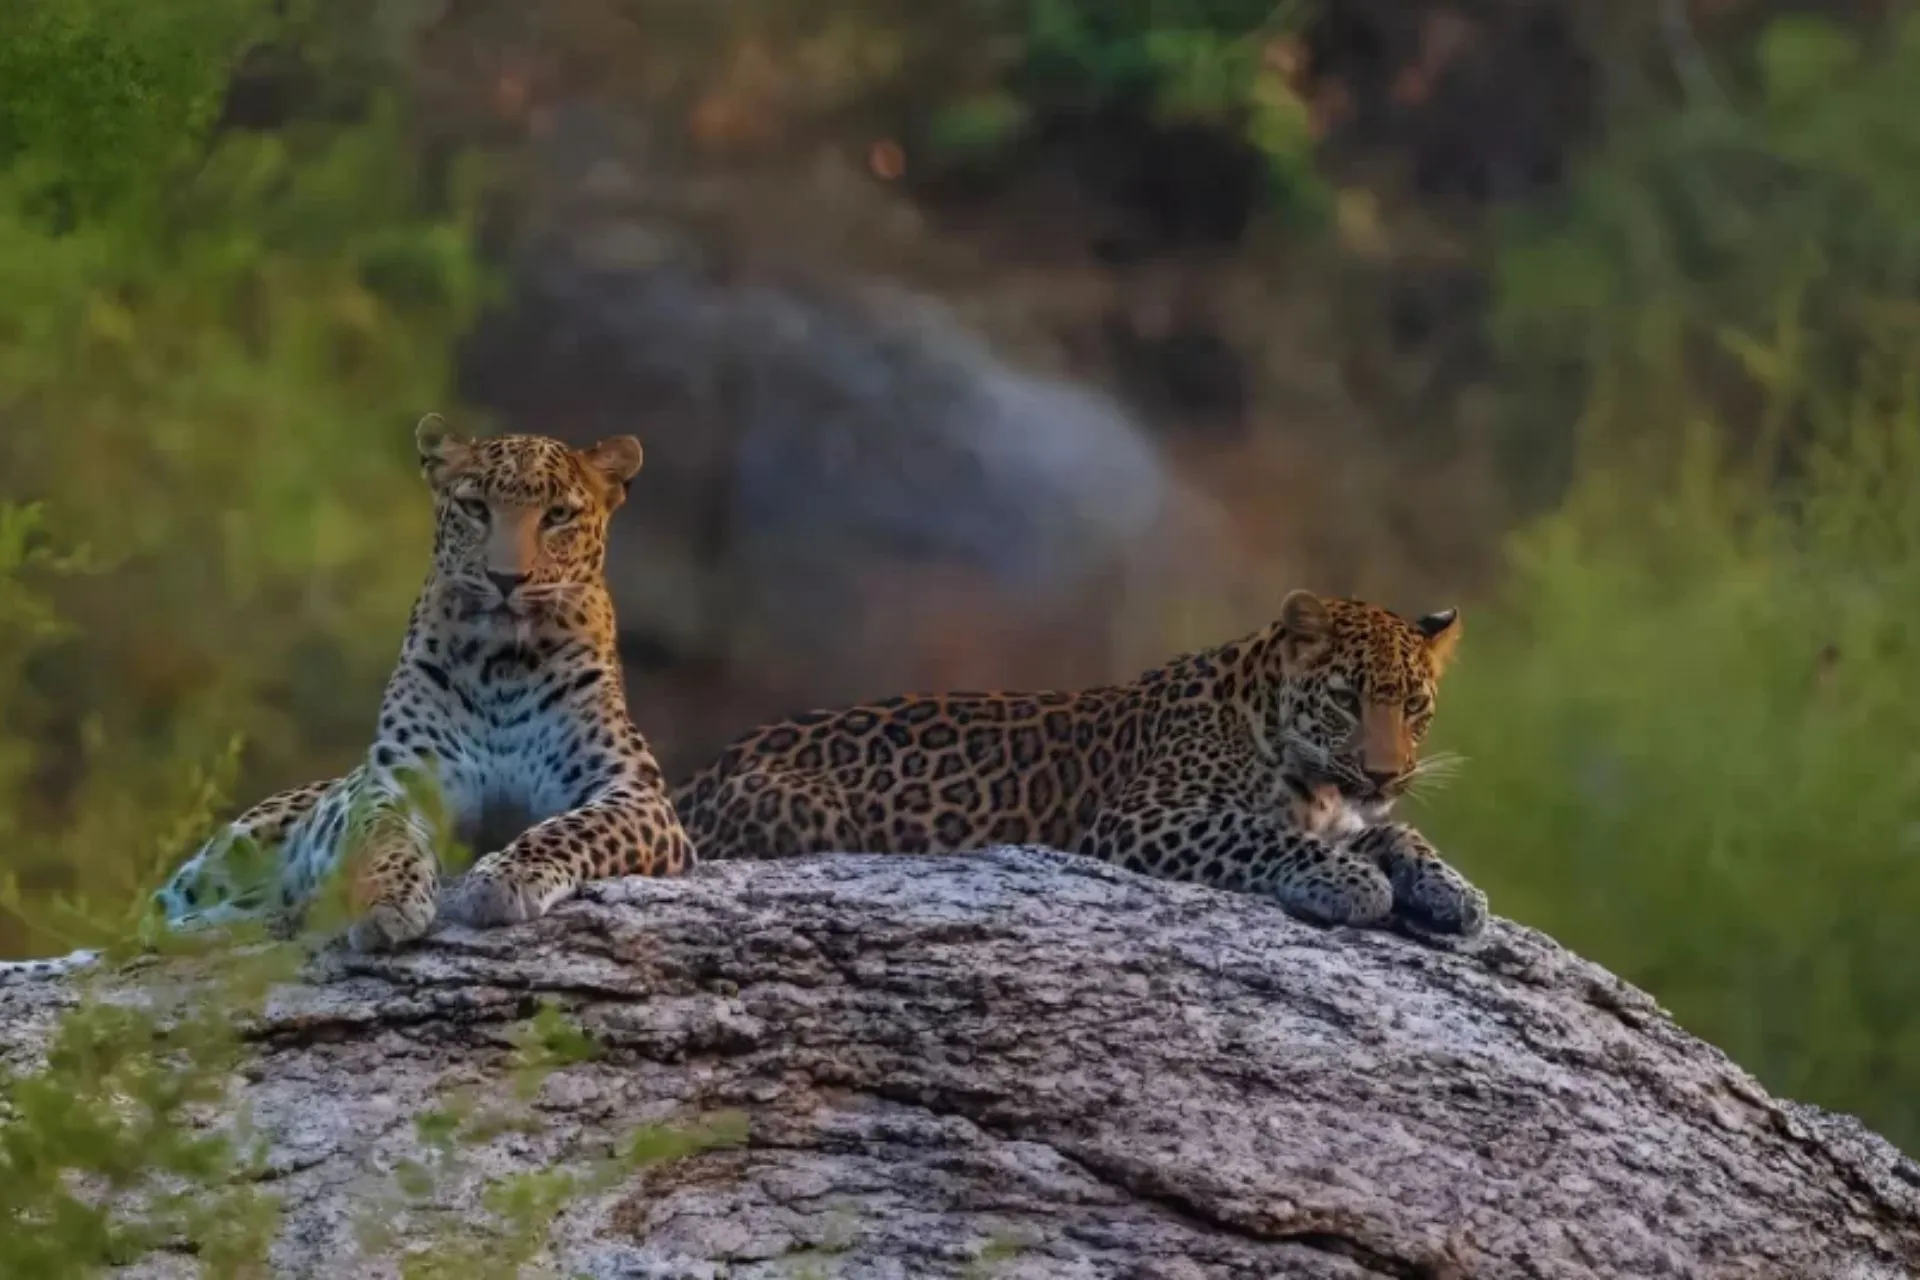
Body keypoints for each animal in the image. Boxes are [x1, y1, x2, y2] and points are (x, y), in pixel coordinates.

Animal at [0, 415, 694, 982]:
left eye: (557, 517)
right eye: (475, 508)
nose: (505, 579)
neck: (504, 662)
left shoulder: (635, 793)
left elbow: (567, 827)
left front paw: (505, 878)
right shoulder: (397, 784)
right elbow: (384, 841)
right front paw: (389, 902)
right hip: (222, 857)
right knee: (145, 928)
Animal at [673, 589, 1487, 939]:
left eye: (1415, 706)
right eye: (1347, 700)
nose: (1385, 775)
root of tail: (694, 779)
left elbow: (1400, 835)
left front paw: (1455, 892)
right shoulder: (1145, 818)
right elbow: (1264, 835)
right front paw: (1353, 883)